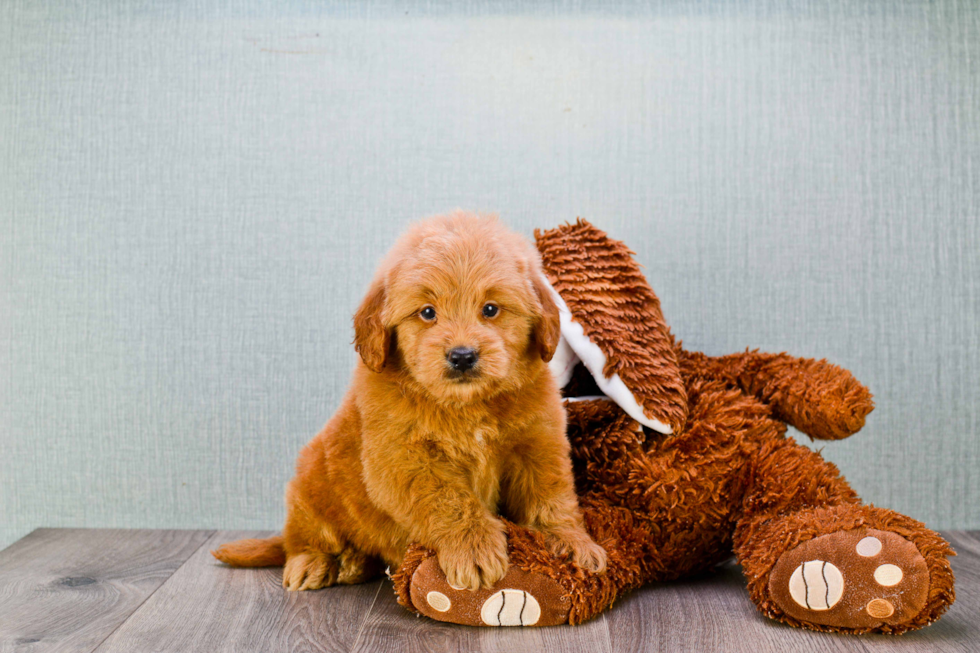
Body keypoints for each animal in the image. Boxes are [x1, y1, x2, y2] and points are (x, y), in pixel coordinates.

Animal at [214, 213, 604, 592]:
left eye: (491, 309)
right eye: (427, 312)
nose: (462, 356)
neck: (467, 406)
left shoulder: (537, 445)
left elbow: (549, 498)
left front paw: (572, 543)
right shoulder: (405, 459)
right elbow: (451, 502)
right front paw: (473, 548)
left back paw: (355, 563)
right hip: (310, 488)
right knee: (303, 537)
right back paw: (315, 562)